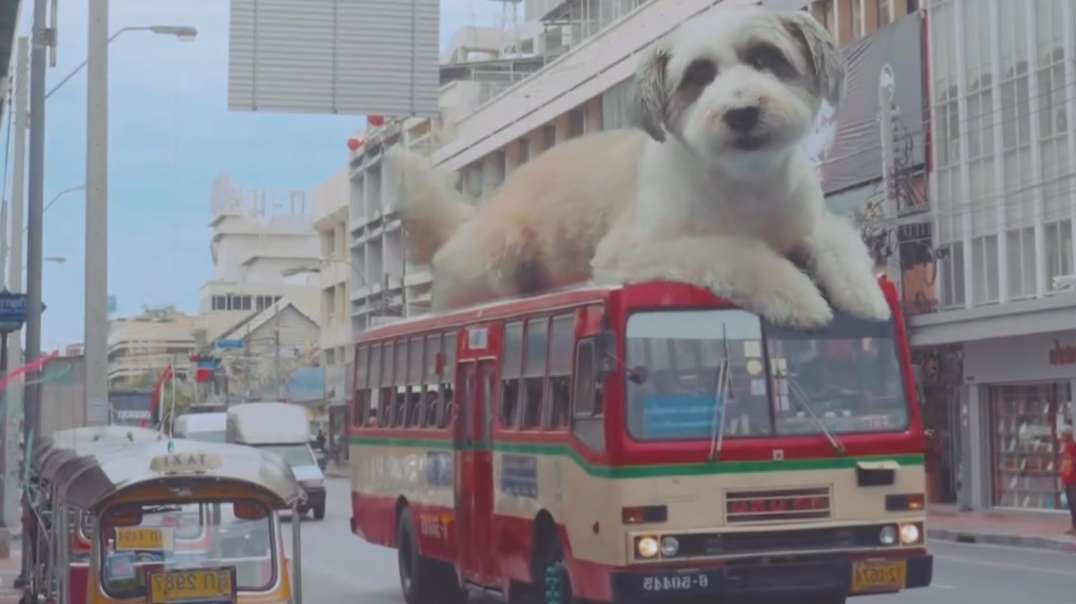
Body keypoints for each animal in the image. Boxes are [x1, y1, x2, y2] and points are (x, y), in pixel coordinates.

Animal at [387, 4, 890, 327]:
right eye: (698, 77)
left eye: (766, 58)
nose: (742, 112)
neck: (746, 183)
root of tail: (472, 217)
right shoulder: (637, 249)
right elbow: (738, 255)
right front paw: (798, 295)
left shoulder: (809, 218)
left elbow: (839, 242)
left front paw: (864, 292)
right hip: (494, 255)